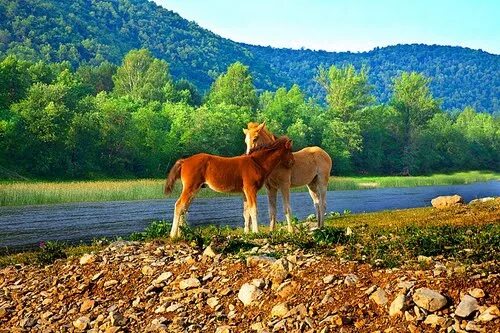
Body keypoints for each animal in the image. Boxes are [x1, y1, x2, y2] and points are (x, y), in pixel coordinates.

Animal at [166, 136, 294, 237]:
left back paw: (182, 233)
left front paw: (247, 233)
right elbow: (253, 210)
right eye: (289, 151)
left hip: (195, 189)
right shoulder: (250, 189)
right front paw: (256, 232)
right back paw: (173, 235)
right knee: (179, 206)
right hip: (190, 187)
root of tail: (184, 161)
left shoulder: (245, 192)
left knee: (184, 208)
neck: (256, 163)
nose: (292, 162)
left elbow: (246, 212)